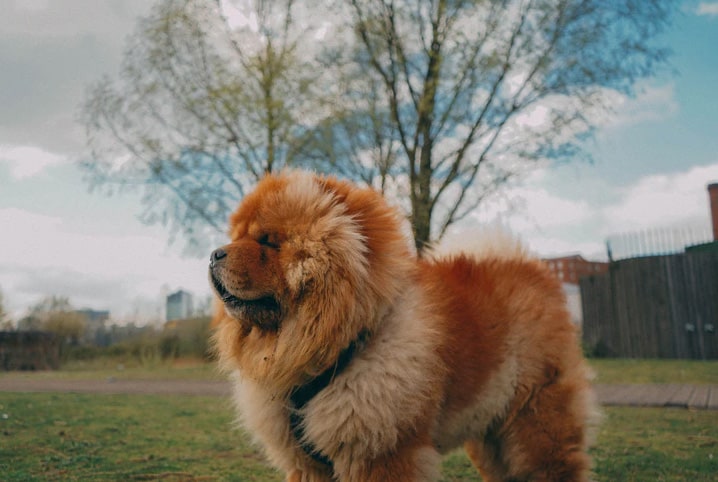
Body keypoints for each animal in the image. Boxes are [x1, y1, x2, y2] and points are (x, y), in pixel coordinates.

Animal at [211, 170, 600, 482]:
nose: (215, 253)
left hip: (535, 422)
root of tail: (531, 269)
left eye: (268, 241)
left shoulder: (381, 450)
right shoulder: (308, 464)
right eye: (237, 235)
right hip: (489, 430)